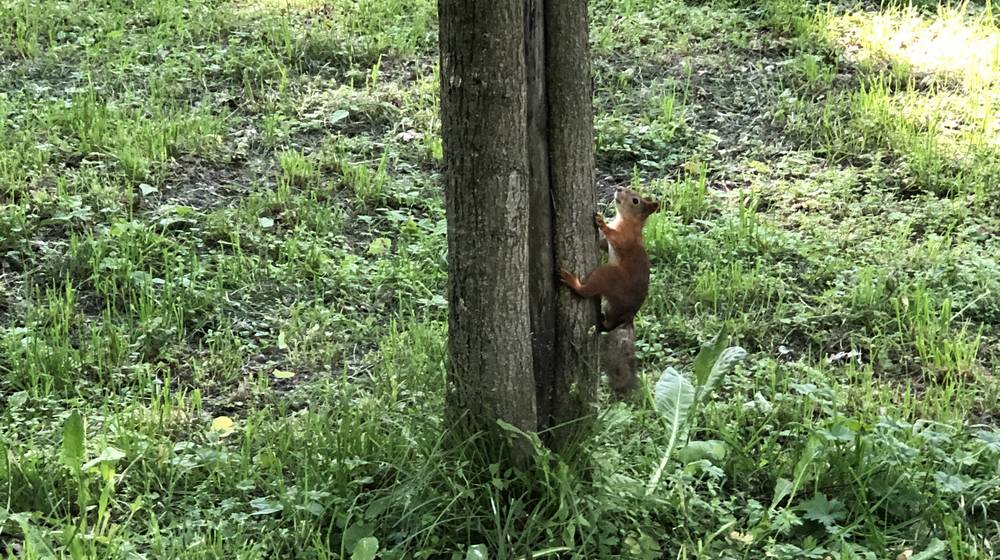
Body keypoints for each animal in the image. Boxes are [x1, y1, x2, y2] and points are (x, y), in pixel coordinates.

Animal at [560, 186, 660, 332]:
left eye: (635, 201)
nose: (619, 188)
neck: (628, 222)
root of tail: (628, 316)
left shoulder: (626, 239)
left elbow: (615, 237)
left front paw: (602, 223)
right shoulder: (607, 243)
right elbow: (603, 244)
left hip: (609, 275)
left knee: (586, 292)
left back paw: (571, 280)